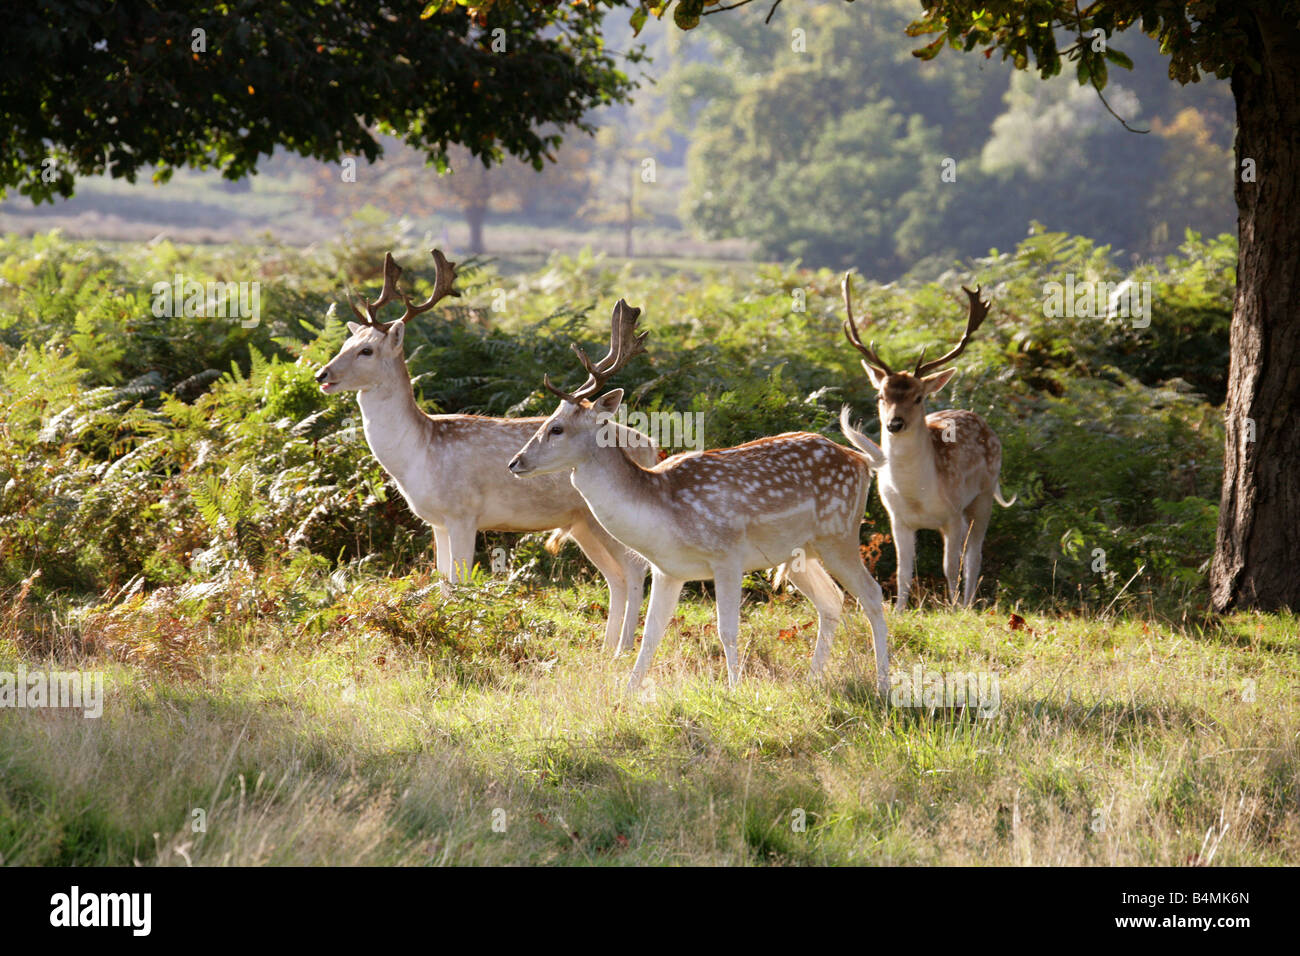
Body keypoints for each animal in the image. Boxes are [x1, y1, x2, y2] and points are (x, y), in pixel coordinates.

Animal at [315, 252, 660, 658]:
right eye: (346, 341)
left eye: (366, 350)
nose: (322, 374)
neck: (419, 453)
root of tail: (651, 447)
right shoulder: (437, 521)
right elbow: (442, 579)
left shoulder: (464, 512)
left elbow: (458, 582)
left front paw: (457, 630)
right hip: (583, 523)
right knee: (615, 577)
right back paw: (605, 648)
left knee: (635, 570)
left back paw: (622, 649)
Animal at [506, 299, 894, 697]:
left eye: (556, 428)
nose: (515, 462)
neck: (662, 513)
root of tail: (862, 461)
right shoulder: (668, 570)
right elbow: (651, 634)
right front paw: (627, 693)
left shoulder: (727, 555)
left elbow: (728, 631)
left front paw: (735, 690)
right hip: (800, 551)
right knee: (832, 600)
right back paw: (813, 679)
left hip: (839, 534)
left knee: (872, 594)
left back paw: (882, 682)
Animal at [837, 274, 1019, 613]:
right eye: (880, 395)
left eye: (919, 397)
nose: (894, 423)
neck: (916, 495)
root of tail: (983, 421)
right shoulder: (898, 519)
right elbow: (903, 570)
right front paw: (898, 610)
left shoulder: (952, 515)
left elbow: (950, 566)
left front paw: (953, 608)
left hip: (983, 495)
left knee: (974, 556)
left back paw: (968, 604)